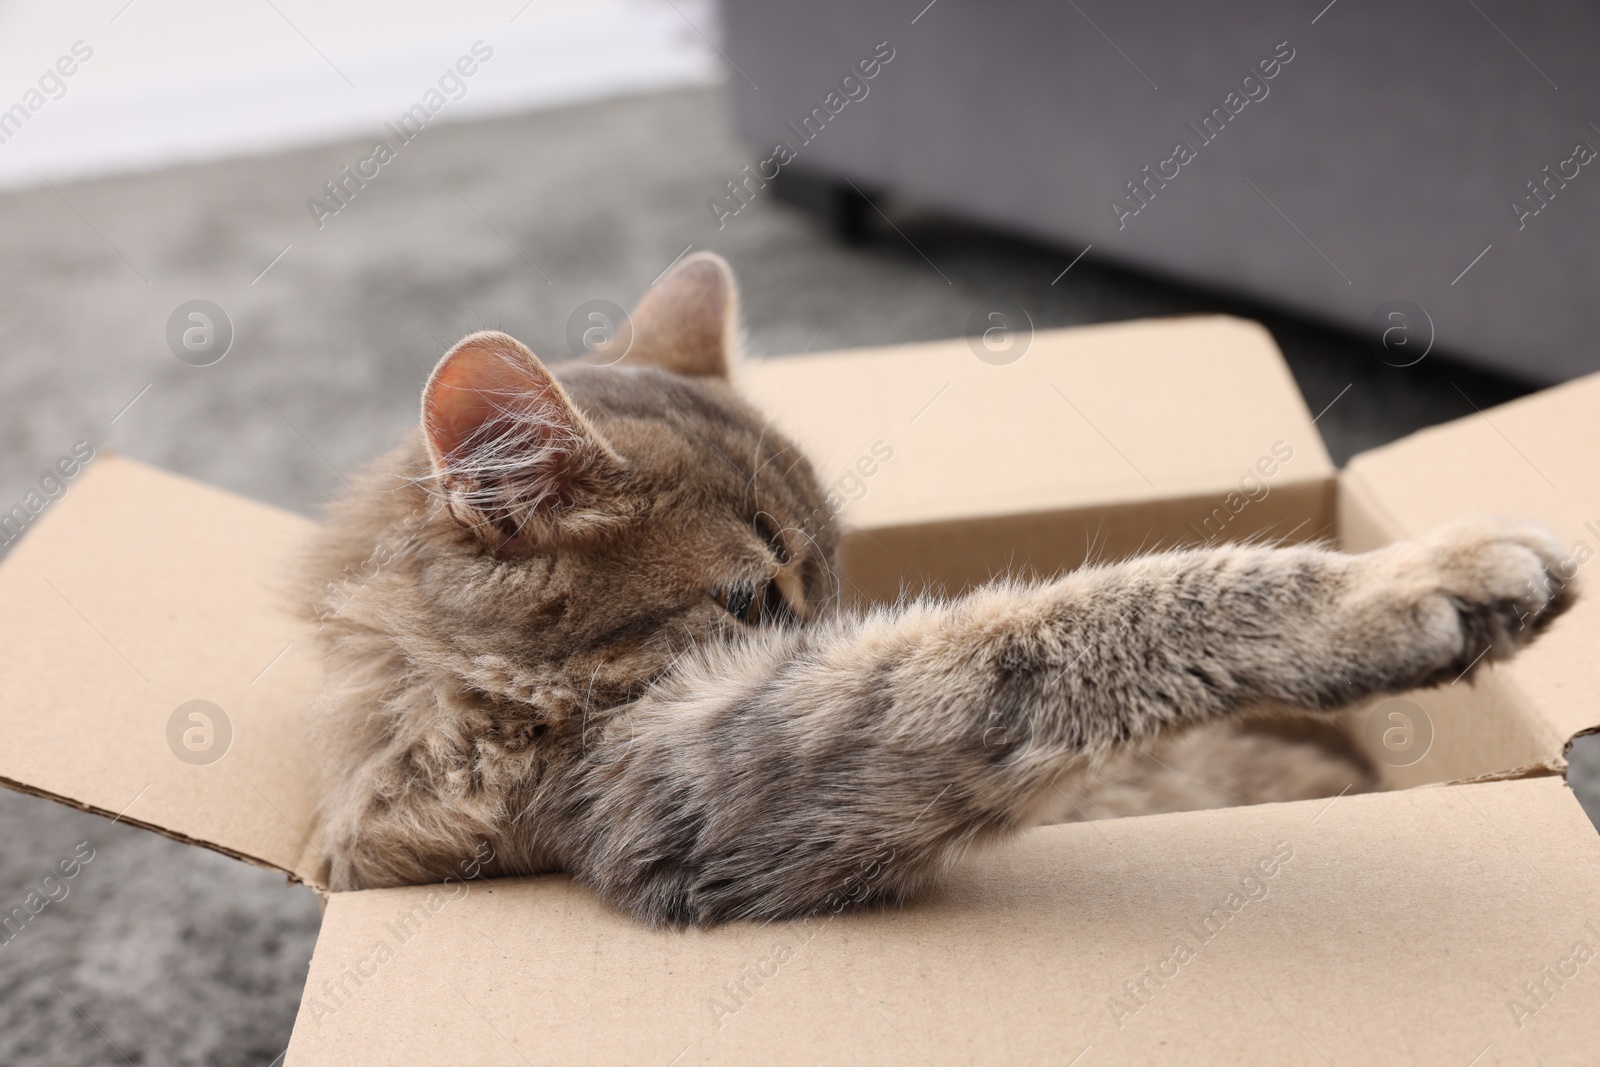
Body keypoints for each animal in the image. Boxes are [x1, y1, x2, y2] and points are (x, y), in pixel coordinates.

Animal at [300, 251, 1574, 927]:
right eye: (750, 605)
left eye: (833, 574)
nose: (819, 629)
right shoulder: (711, 786)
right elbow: (1084, 616)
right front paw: (1408, 582)